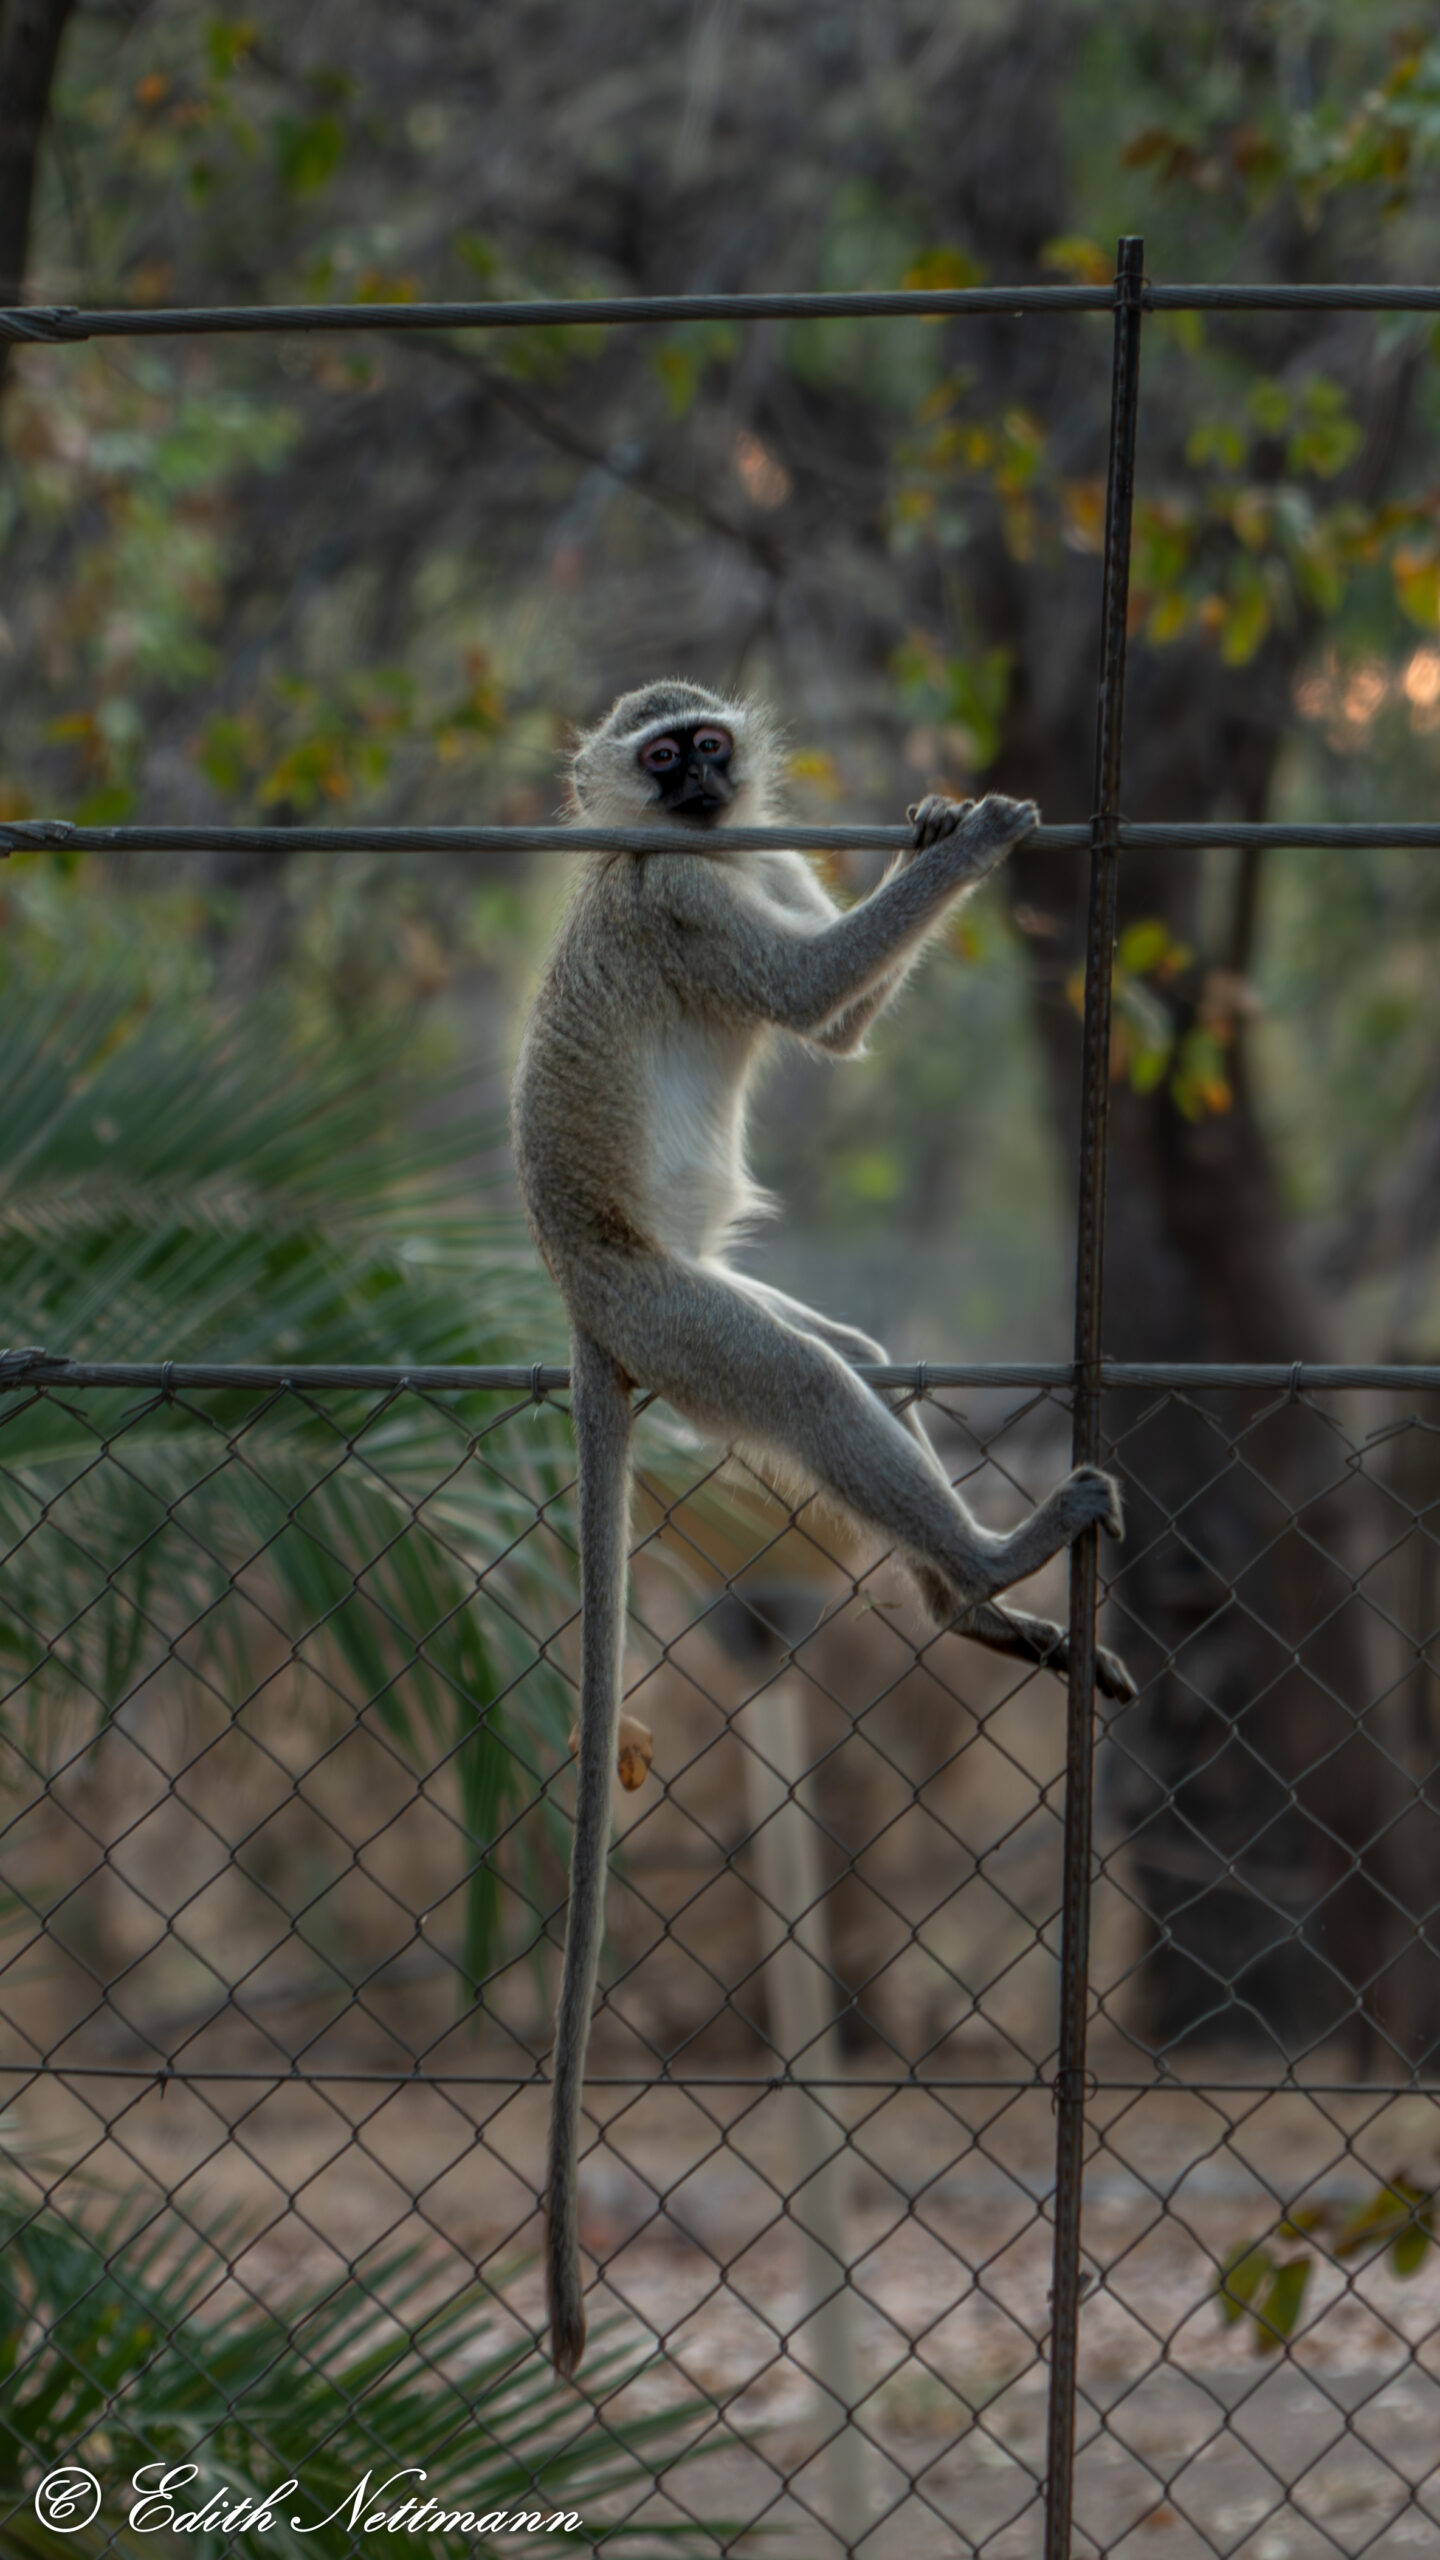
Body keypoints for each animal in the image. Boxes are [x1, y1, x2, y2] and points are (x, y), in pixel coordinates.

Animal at [509, 680, 1127, 2375]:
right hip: (685, 1320)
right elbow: (802, 994)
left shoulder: (745, 862)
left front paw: (932, 824)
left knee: (851, 1365)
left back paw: (964, 1603)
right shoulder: (687, 899)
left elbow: (834, 1019)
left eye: (710, 744)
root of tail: (590, 1298)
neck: (684, 849)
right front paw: (978, 840)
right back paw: (987, 1566)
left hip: (699, 1321)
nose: (706, 780)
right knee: (801, 1378)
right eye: (664, 756)